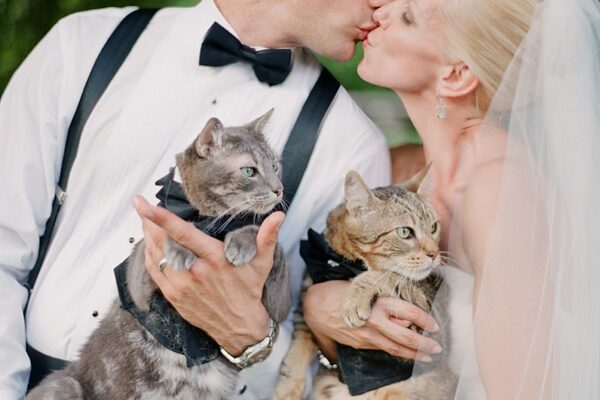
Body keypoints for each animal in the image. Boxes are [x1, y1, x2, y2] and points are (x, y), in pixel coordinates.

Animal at [25, 109, 292, 400]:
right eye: (249, 171)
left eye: (275, 166)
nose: (279, 188)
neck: (209, 221)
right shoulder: (137, 281)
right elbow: (162, 233)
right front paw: (179, 248)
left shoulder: (278, 304)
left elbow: (272, 244)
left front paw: (241, 242)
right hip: (65, 385)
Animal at [274, 170, 458, 400]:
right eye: (405, 232)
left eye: (434, 227)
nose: (434, 254)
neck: (343, 265)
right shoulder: (305, 305)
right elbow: (295, 353)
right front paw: (285, 389)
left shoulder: (431, 329)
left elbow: (385, 276)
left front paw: (356, 295)